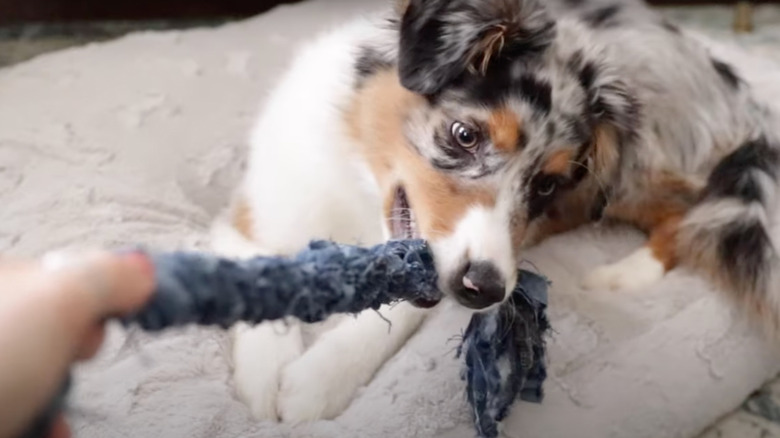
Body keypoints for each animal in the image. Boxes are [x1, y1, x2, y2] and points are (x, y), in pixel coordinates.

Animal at [210, 0, 780, 424]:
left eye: (547, 183)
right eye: (465, 135)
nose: (483, 288)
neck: (361, 186)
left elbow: (399, 310)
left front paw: (316, 382)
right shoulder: (258, 210)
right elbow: (254, 264)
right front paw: (263, 379)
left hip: (637, 168)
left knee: (691, 210)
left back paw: (622, 274)